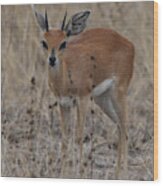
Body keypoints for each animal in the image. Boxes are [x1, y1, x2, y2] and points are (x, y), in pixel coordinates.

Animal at [33, 8, 135, 179]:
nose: (52, 59)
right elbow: (65, 138)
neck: (65, 77)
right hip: (103, 99)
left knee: (125, 127)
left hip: (118, 93)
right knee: (119, 127)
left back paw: (125, 174)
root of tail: (129, 43)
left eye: (63, 43)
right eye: (44, 42)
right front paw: (63, 173)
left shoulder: (83, 99)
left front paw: (79, 172)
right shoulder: (64, 103)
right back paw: (116, 174)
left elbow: (79, 136)